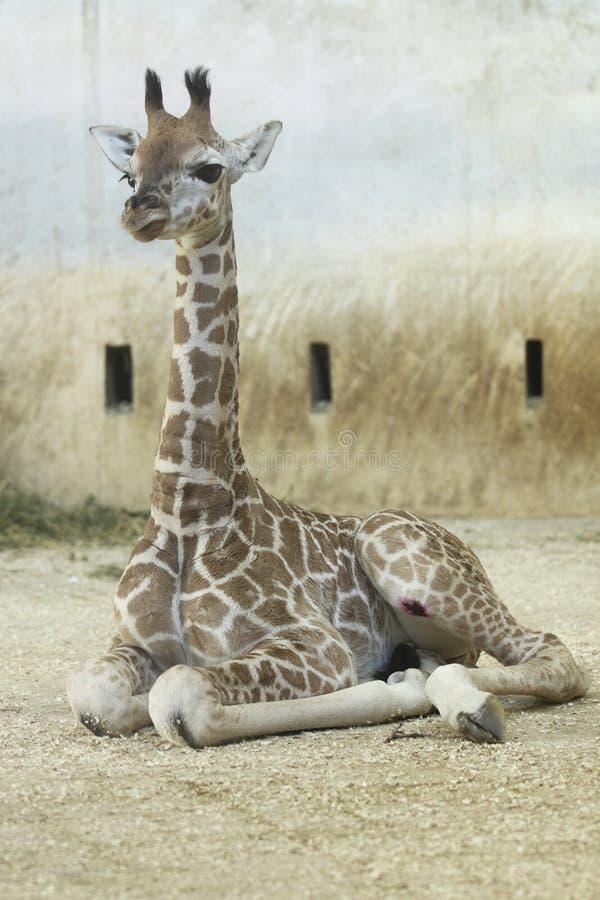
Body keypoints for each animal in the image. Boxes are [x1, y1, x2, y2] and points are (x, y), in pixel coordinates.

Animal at [68, 68, 588, 744]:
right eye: (128, 173)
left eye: (209, 167)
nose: (140, 211)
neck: (186, 508)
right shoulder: (130, 642)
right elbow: (93, 695)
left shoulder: (314, 644)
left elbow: (179, 696)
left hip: (407, 556)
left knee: (553, 654)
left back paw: (462, 702)